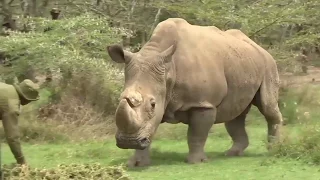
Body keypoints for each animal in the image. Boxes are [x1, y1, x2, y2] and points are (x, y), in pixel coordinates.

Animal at [107, 17, 282, 167]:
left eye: (152, 104)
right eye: (120, 99)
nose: (127, 142)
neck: (169, 70)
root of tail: (259, 47)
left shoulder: (203, 103)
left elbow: (196, 134)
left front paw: (196, 162)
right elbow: (149, 130)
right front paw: (136, 164)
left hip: (268, 64)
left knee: (267, 106)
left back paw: (274, 148)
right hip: (242, 64)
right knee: (234, 114)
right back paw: (232, 154)